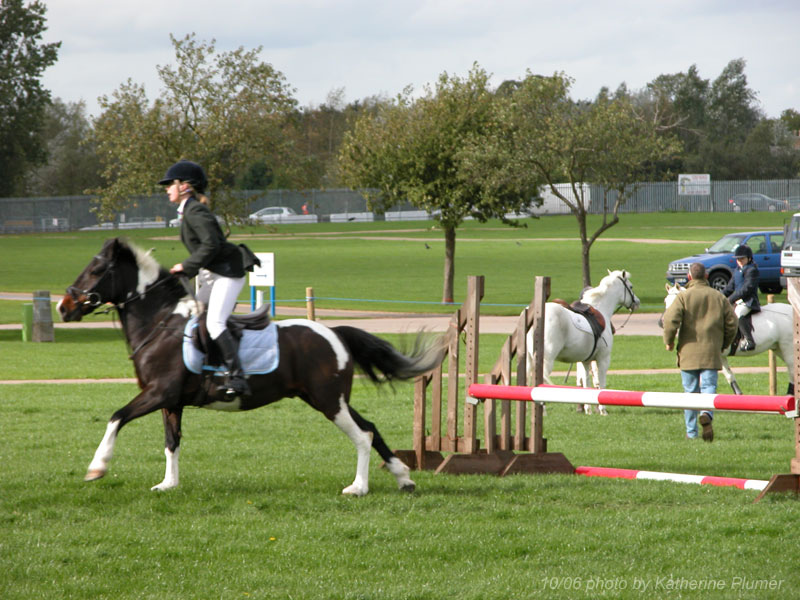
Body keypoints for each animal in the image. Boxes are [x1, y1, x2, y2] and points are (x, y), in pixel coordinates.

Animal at [56, 239, 444, 496]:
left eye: (96, 270)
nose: (63, 307)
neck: (160, 323)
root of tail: (334, 332)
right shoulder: (171, 402)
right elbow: (171, 442)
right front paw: (169, 484)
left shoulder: (158, 393)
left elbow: (116, 417)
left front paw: (97, 468)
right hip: (328, 398)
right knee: (371, 429)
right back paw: (404, 477)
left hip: (328, 401)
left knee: (362, 435)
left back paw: (358, 487)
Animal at [528, 270, 640, 414]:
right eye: (630, 287)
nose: (637, 302)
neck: (601, 309)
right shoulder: (603, 359)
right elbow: (601, 384)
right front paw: (603, 410)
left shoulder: (585, 361)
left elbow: (586, 384)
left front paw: (588, 409)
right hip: (547, 360)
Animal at [664, 284, 792, 396]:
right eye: (665, 301)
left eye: (676, 300)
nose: (664, 321)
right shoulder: (719, 357)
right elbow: (729, 376)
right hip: (777, 348)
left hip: (787, 347)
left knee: (792, 370)